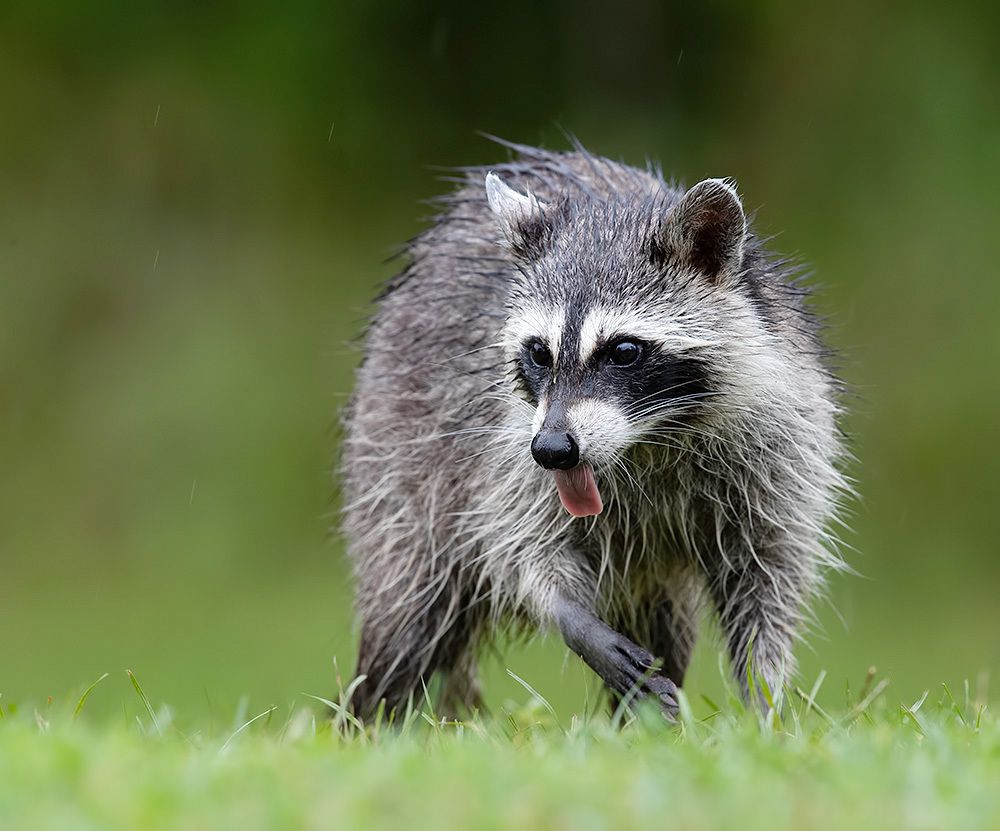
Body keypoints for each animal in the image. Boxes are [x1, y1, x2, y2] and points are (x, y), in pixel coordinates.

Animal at [341, 139, 848, 719]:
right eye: (539, 352)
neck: (653, 437)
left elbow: (770, 576)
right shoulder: (504, 444)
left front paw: (767, 705)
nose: (553, 450)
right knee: (406, 614)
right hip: (395, 451)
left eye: (623, 351)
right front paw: (573, 617)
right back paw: (367, 715)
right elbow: (516, 547)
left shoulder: (782, 442)